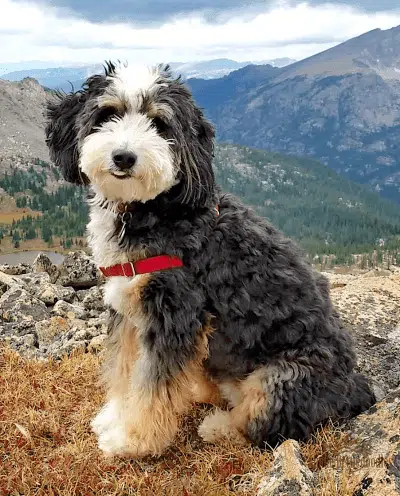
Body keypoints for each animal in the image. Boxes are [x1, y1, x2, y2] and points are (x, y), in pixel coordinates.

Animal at [44, 61, 376, 458]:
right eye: (108, 114)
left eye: (159, 124)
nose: (124, 157)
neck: (156, 210)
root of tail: (356, 390)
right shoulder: (129, 310)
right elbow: (125, 371)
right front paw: (114, 418)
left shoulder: (175, 313)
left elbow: (153, 386)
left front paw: (133, 440)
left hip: (280, 377)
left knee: (267, 425)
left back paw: (221, 427)